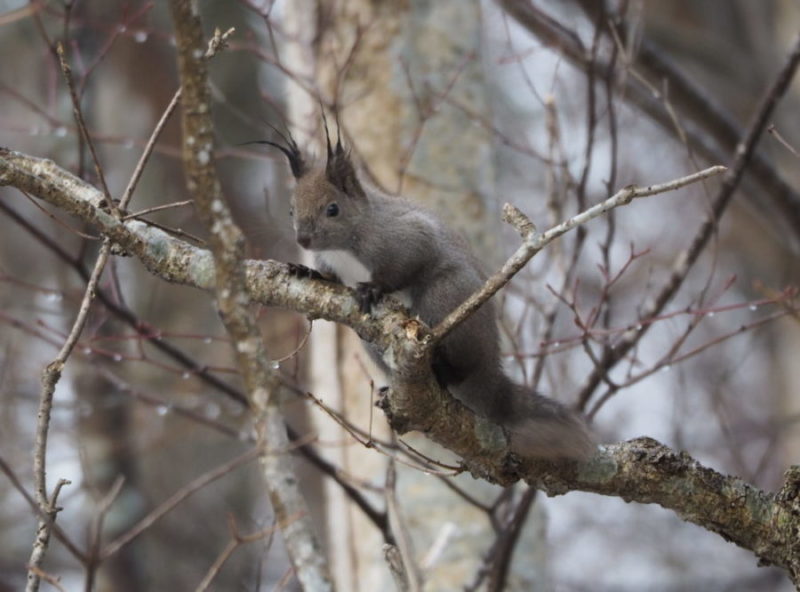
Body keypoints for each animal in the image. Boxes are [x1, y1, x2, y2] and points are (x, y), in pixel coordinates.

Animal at [256, 122, 592, 460]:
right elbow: (329, 276)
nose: (303, 240)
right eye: (291, 210)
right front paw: (306, 270)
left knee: (460, 366)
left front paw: (373, 288)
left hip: (443, 297)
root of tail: (490, 372)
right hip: (369, 341)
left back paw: (443, 369)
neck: (345, 245)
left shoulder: (405, 237)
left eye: (333, 209)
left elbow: (407, 262)